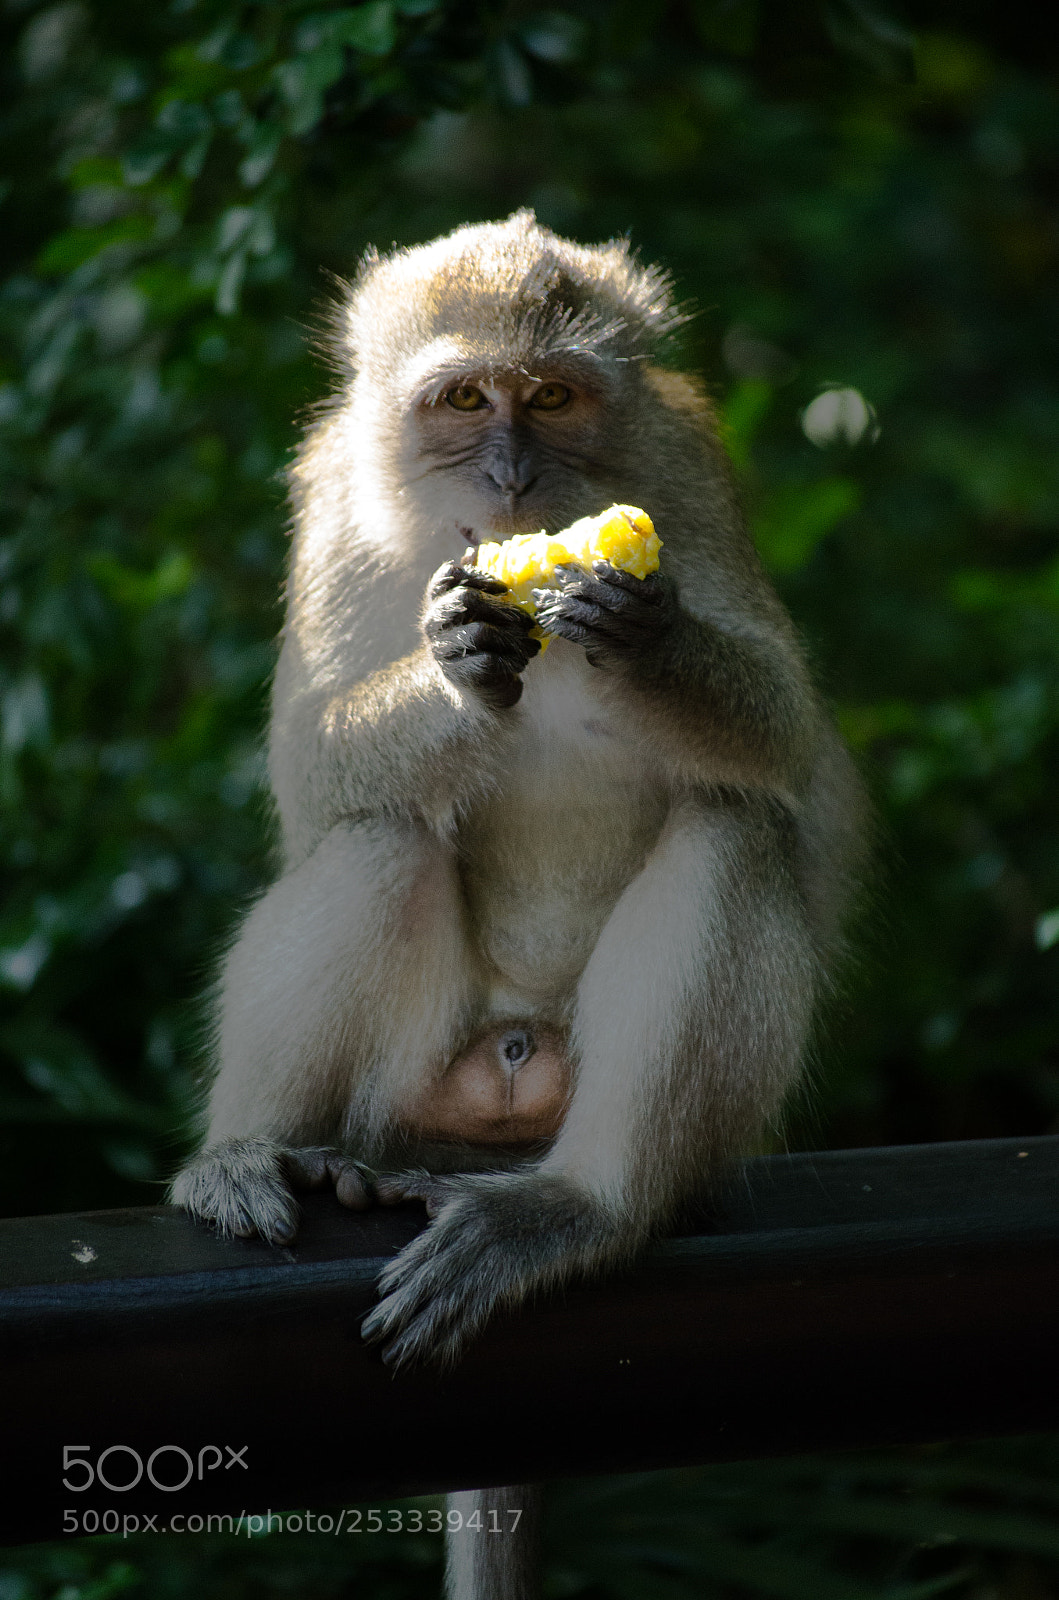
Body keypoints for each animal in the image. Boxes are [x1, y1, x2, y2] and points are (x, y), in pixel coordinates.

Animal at [170, 209, 867, 1598]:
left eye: (547, 396)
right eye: (460, 400)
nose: (506, 477)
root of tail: (503, 1090)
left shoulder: (684, 468)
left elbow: (778, 736)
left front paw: (643, 630)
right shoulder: (334, 494)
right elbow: (311, 769)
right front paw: (456, 661)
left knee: (734, 828)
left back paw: (581, 1205)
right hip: (414, 1077)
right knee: (378, 839)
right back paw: (265, 1153)